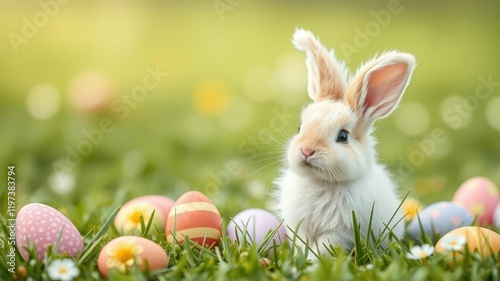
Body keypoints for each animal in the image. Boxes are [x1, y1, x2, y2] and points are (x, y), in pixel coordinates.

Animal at [276, 29, 416, 256]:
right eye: (299, 128)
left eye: (343, 136)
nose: (307, 151)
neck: (322, 182)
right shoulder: (300, 227)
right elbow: (302, 242)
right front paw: (302, 256)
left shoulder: (341, 232)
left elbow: (325, 243)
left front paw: (313, 258)